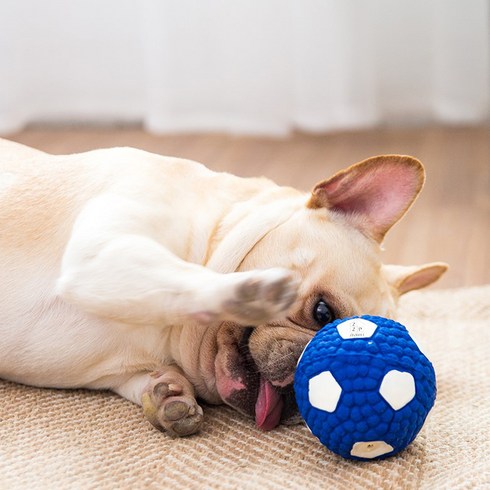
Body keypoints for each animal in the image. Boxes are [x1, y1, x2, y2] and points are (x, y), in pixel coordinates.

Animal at [0, 138, 446, 436]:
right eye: (323, 313)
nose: (300, 388)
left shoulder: (119, 364)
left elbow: (143, 376)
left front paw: (168, 396)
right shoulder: (100, 255)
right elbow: (185, 278)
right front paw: (254, 291)